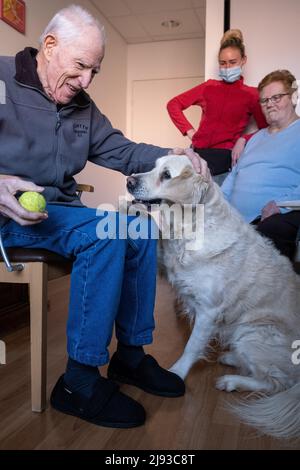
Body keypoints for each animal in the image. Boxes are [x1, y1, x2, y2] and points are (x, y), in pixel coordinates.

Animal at [127, 155, 300, 440]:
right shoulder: (165, 266)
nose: (129, 181)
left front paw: (177, 373)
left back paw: (232, 381)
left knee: (277, 382)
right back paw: (231, 358)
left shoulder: (209, 311)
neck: (190, 228)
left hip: (254, 332)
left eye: (166, 175)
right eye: (154, 166)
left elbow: (192, 346)